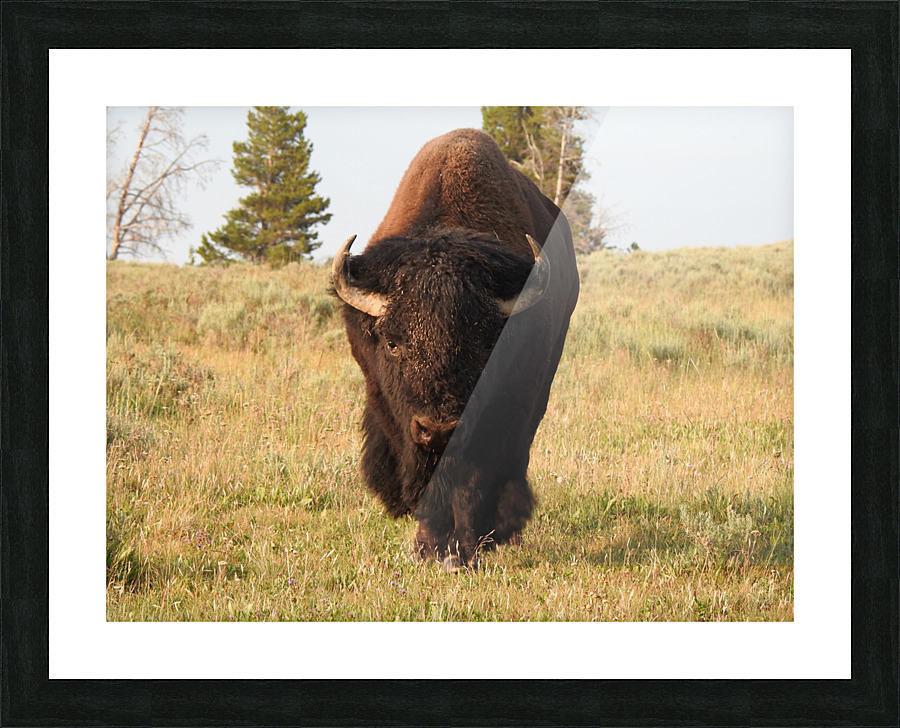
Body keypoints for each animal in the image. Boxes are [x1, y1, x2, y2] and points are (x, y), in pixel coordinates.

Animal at [332, 128, 579, 570]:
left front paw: (464, 551)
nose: (439, 428)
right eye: (393, 342)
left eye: (483, 343)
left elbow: (473, 482)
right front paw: (429, 549)